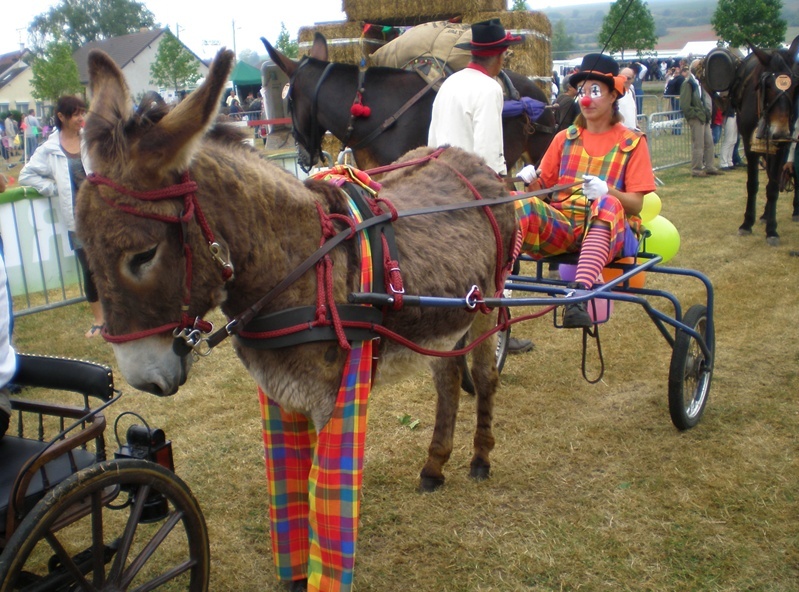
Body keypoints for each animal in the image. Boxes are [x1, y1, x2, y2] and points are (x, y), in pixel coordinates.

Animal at [732, 37, 799, 245]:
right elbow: (753, 184)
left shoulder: (783, 146)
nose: (779, 132)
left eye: (795, 85)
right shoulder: (749, 145)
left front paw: (772, 230)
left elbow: (774, 186)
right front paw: (747, 224)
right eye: (767, 85)